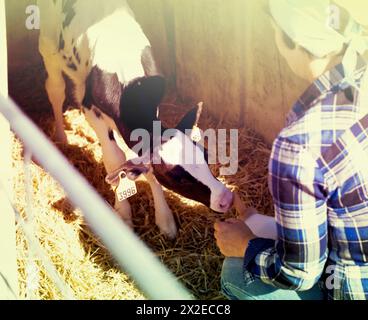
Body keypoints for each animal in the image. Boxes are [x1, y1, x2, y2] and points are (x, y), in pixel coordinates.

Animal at [37, 0, 233, 239]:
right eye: (177, 177)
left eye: (205, 155)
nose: (226, 199)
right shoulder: (91, 109)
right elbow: (115, 159)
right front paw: (123, 213)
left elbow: (145, 166)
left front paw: (164, 219)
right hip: (49, 45)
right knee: (55, 90)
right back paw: (61, 136)